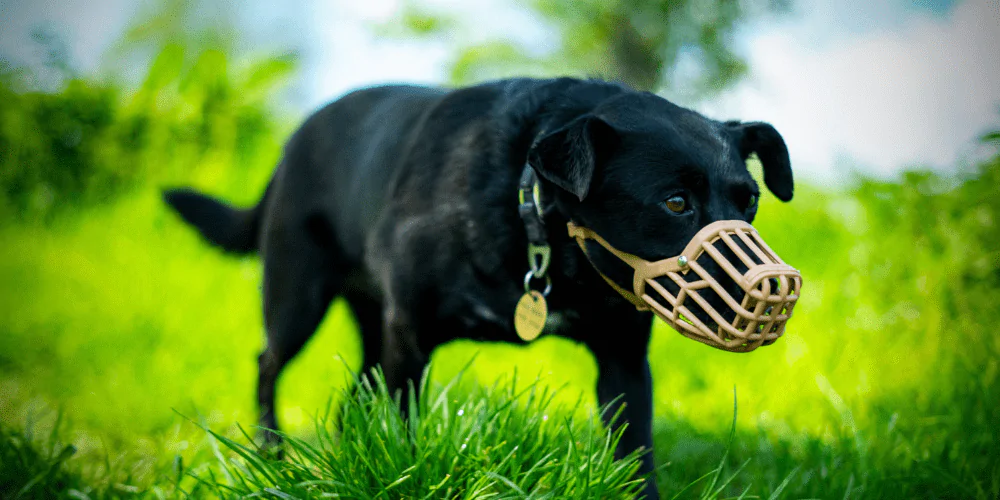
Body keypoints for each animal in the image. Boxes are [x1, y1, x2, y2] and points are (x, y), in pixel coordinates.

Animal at [164, 76, 792, 498]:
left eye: (750, 202)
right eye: (675, 203)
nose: (776, 287)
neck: (531, 219)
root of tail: (292, 143)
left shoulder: (623, 360)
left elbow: (635, 451)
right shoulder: (409, 335)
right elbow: (404, 427)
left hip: (367, 323)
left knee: (353, 397)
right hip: (298, 297)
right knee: (269, 363)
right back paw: (271, 454)